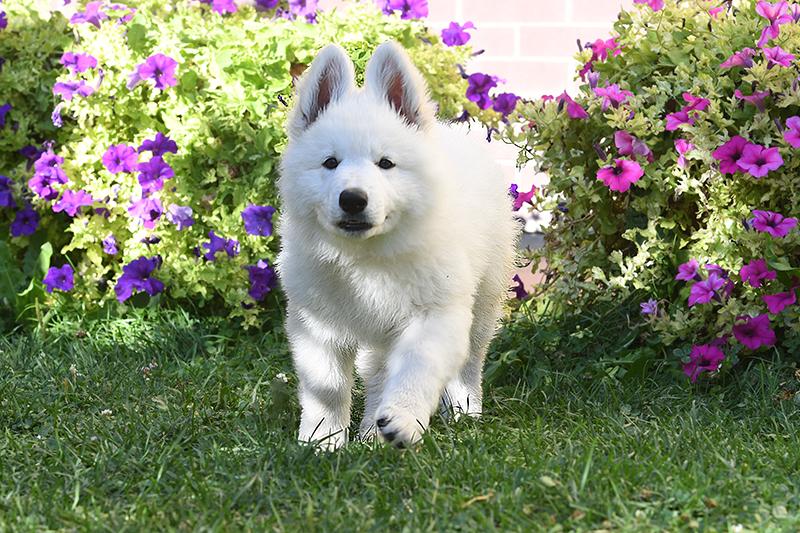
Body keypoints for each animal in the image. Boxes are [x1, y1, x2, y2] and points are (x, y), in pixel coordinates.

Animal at [278, 42, 520, 448]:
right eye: (330, 162)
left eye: (386, 164)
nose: (353, 199)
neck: (365, 259)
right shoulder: (318, 324)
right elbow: (328, 387)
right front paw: (322, 441)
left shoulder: (435, 314)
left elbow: (416, 369)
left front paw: (403, 420)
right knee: (375, 372)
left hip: (485, 297)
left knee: (470, 358)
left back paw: (464, 410)